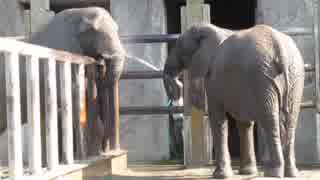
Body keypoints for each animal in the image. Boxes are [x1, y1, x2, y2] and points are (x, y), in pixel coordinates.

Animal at [164, 23, 306, 178]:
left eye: (178, 47)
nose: (177, 86)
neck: (212, 30)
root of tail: (279, 47)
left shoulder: (213, 78)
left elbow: (218, 119)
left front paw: (220, 175)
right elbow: (244, 123)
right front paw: (247, 172)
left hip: (262, 77)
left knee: (269, 120)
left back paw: (272, 173)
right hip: (295, 75)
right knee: (290, 120)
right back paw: (291, 173)